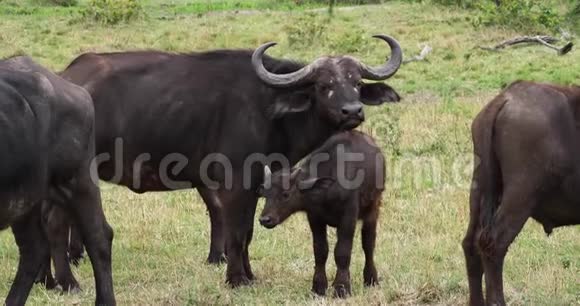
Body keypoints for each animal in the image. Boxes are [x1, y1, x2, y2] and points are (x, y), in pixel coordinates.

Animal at [258, 130, 386, 298]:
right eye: (265, 194)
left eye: (286, 194)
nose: (264, 219)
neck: (328, 188)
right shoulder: (315, 218)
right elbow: (320, 251)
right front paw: (318, 287)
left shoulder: (348, 217)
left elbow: (342, 251)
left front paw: (342, 288)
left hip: (373, 209)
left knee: (368, 244)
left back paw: (371, 279)